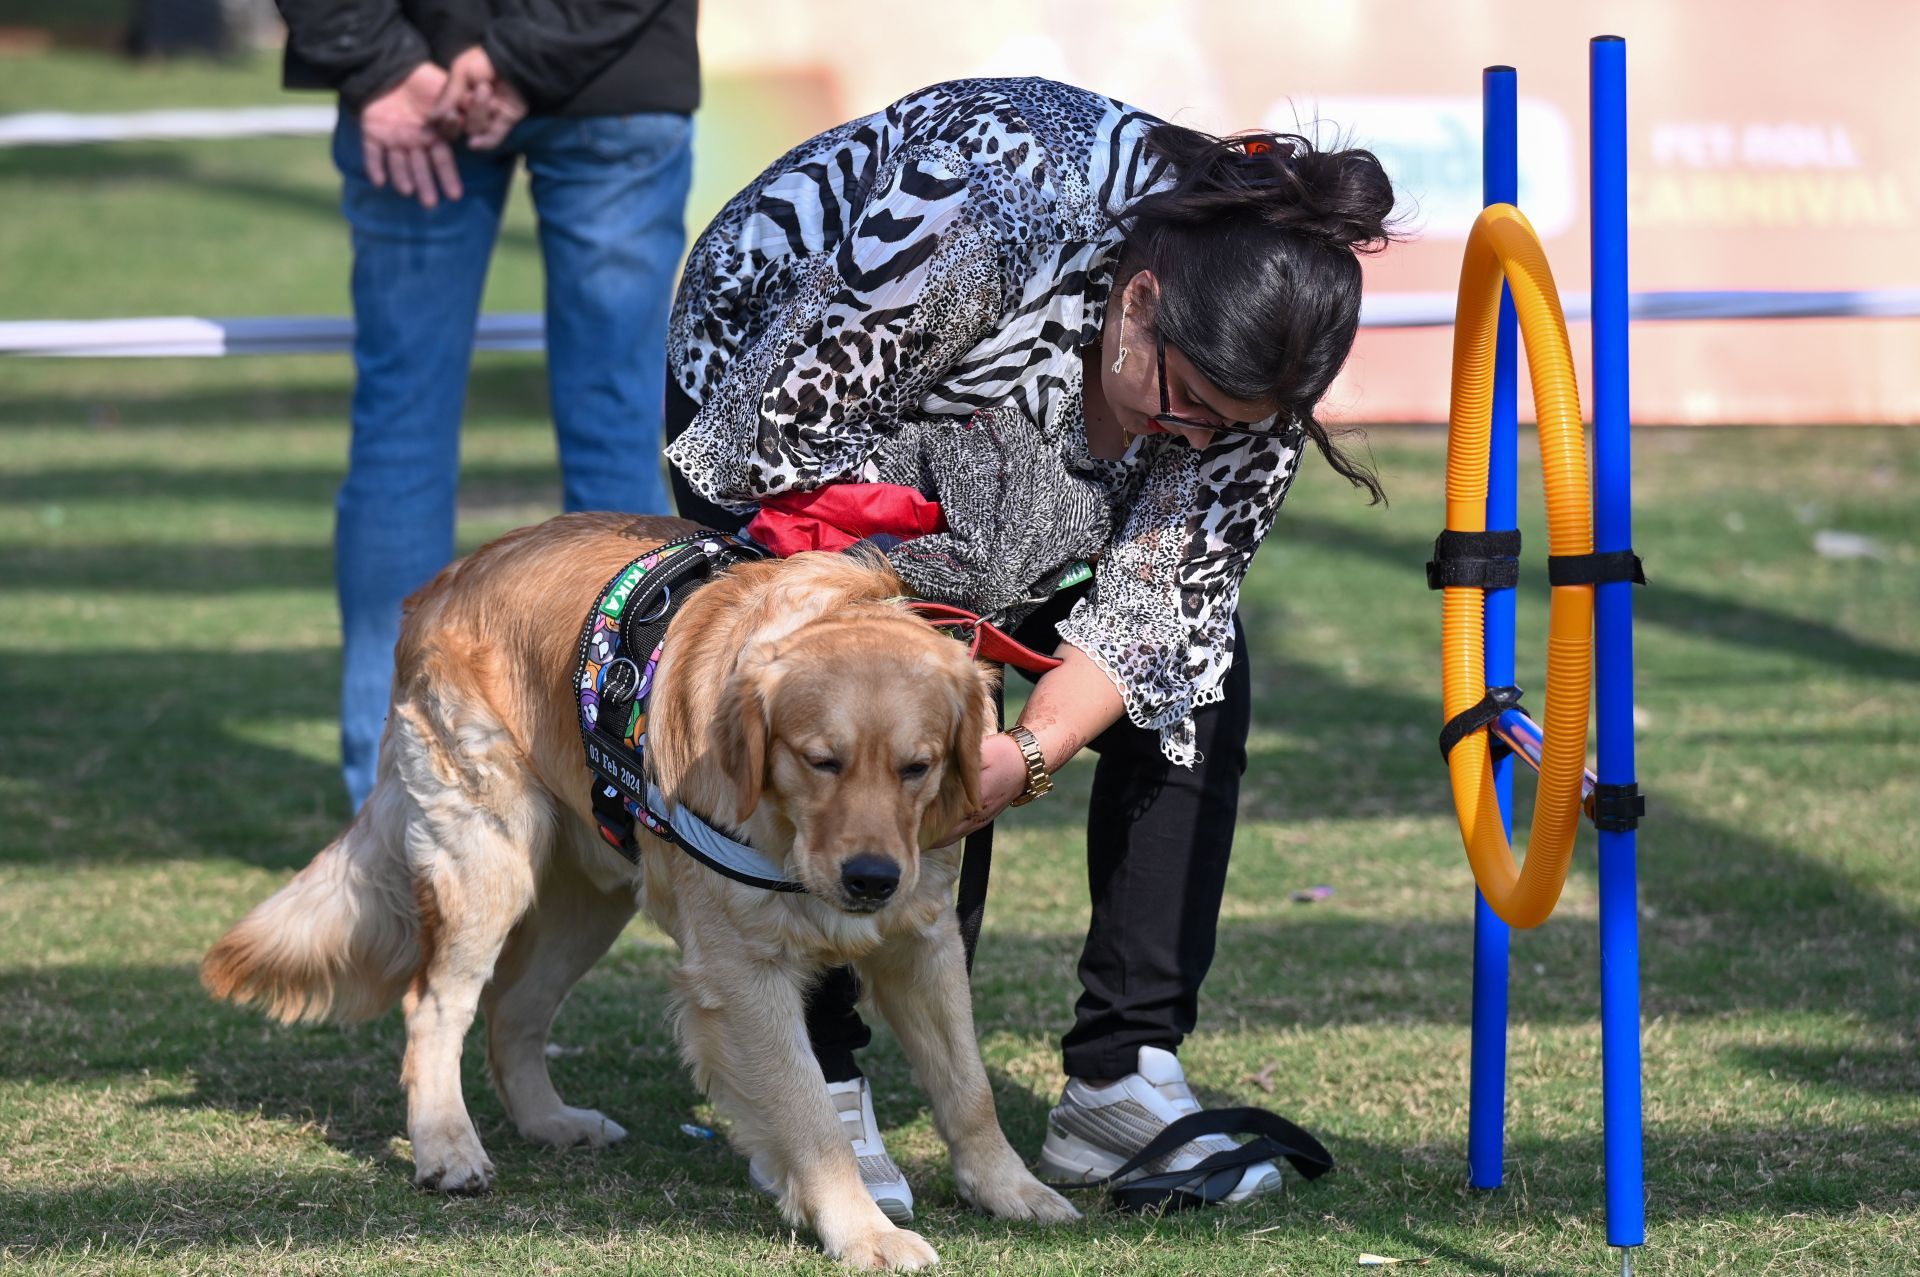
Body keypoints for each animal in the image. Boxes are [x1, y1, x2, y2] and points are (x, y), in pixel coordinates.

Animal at [210, 514, 1090, 1267]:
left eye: (918, 766)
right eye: (820, 760)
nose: (870, 878)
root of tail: (446, 578)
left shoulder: (924, 939)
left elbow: (968, 1085)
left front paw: (1008, 1187)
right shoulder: (744, 971)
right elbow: (811, 1112)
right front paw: (862, 1229)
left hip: (589, 899)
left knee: (512, 1012)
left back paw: (550, 1121)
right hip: (488, 860)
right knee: (436, 1003)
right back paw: (448, 1148)